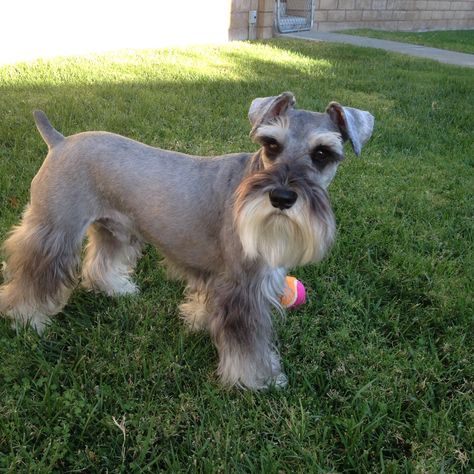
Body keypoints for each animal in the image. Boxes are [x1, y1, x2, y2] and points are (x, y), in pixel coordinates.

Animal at [0, 92, 374, 388]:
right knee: (33, 275)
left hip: (114, 228)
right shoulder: (243, 288)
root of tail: (60, 141)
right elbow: (247, 342)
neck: (249, 178)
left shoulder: (220, 278)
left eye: (322, 153)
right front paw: (258, 379)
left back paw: (115, 288)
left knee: (100, 261)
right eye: (271, 144)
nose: (282, 197)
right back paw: (25, 317)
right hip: (54, 231)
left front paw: (198, 320)